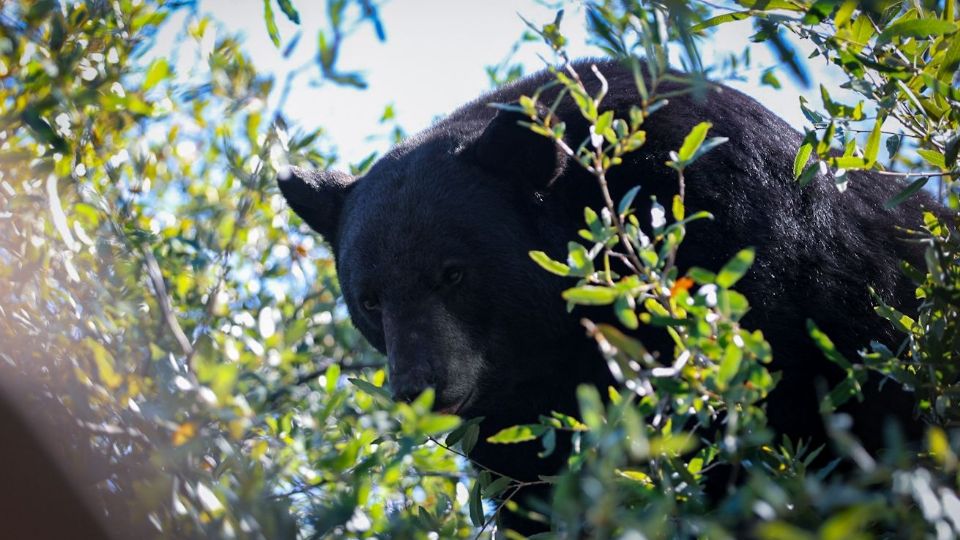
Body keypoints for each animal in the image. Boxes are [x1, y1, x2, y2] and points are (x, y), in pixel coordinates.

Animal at [278, 58, 935, 529]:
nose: (419, 387)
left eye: (454, 273)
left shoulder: (738, 253)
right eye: (370, 300)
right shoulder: (514, 412)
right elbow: (534, 490)